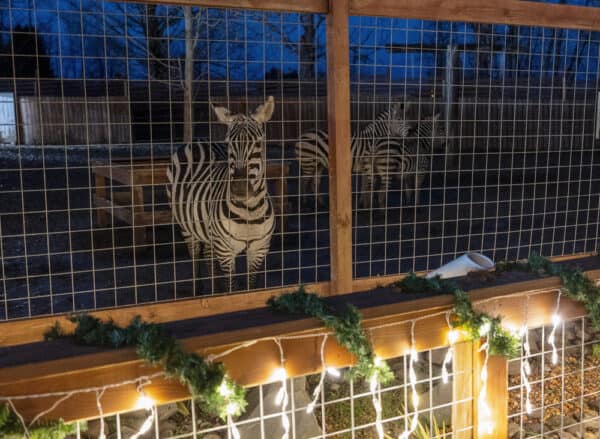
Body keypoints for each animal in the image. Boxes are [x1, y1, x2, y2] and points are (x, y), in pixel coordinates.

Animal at [165, 96, 276, 292]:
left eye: (258, 143)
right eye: (228, 144)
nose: (239, 189)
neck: (249, 210)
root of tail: (197, 140)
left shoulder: (259, 249)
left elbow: (251, 286)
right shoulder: (225, 251)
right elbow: (232, 287)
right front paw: (227, 294)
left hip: (207, 230)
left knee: (208, 256)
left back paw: (214, 290)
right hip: (186, 226)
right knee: (195, 255)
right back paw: (198, 289)